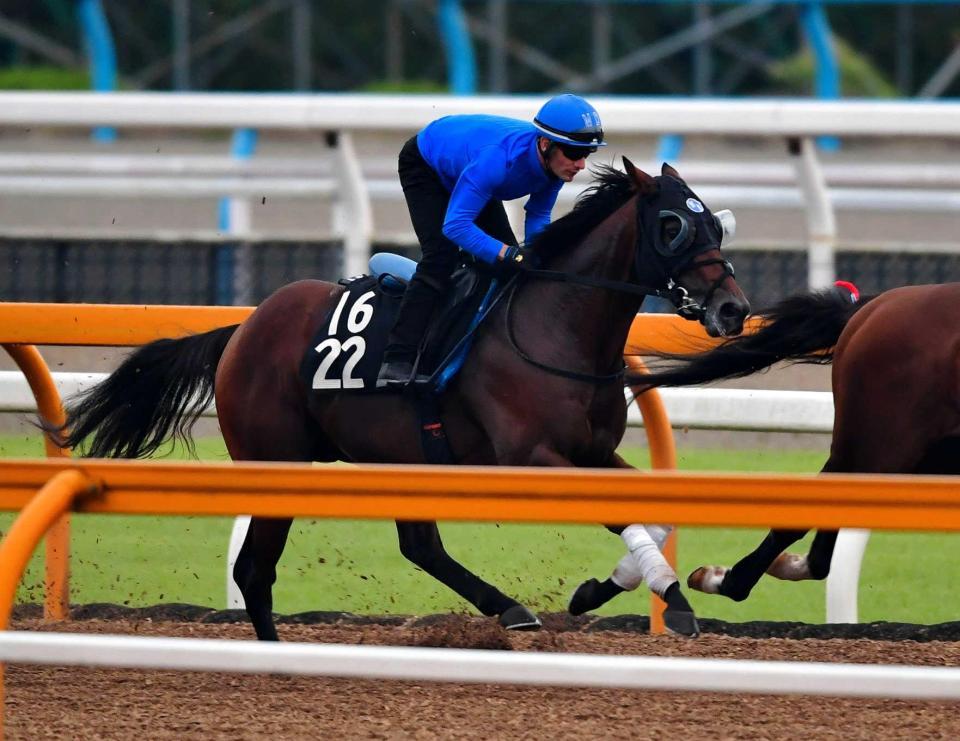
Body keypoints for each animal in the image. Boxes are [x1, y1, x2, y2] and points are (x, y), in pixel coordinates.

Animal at [58, 159, 752, 640]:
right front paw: (670, 597)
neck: (555, 323)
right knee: (255, 569)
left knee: (418, 546)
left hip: (402, 456)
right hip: (277, 458)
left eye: (716, 223)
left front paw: (601, 591)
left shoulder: (592, 452)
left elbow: (655, 513)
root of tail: (243, 328)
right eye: (672, 225)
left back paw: (510, 610)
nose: (733, 308)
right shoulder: (531, 456)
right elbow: (625, 514)